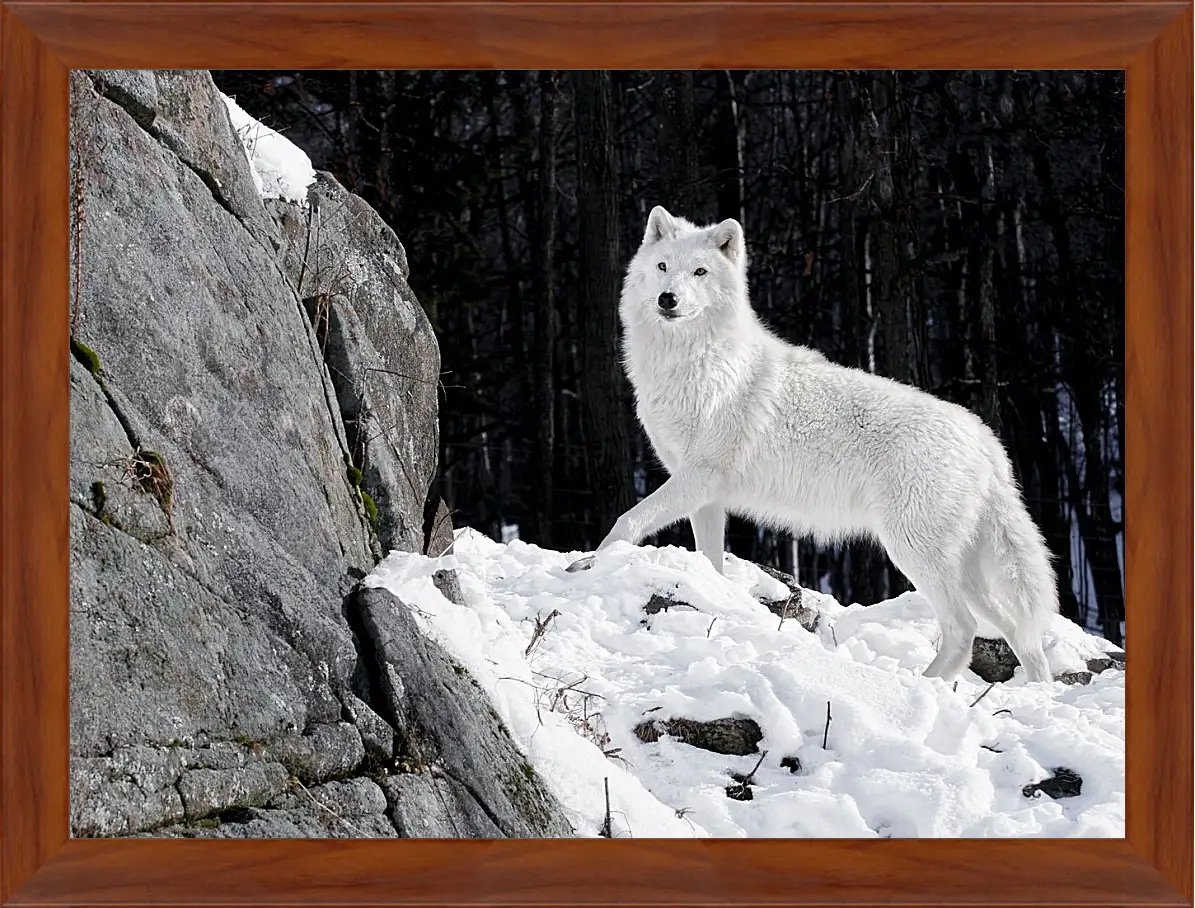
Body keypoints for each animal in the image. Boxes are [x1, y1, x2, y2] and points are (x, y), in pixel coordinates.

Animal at [578, 205, 1056, 678]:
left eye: (699, 272)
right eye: (663, 267)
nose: (668, 299)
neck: (693, 363)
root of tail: (985, 439)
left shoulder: (697, 478)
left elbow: (626, 522)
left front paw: (587, 564)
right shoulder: (704, 495)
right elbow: (709, 562)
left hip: (913, 551)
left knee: (964, 630)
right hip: (964, 569)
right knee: (1021, 634)